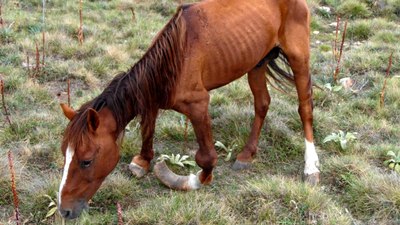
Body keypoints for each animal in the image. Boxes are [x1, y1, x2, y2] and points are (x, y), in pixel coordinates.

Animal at [57, 0, 318, 219]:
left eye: (86, 161)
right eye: (65, 155)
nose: (64, 210)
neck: (174, 59)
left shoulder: (198, 105)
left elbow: (206, 158)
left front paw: (188, 180)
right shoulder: (151, 98)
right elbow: (147, 130)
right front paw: (143, 161)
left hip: (299, 57)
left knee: (305, 107)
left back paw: (311, 168)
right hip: (257, 62)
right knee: (262, 104)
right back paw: (246, 155)